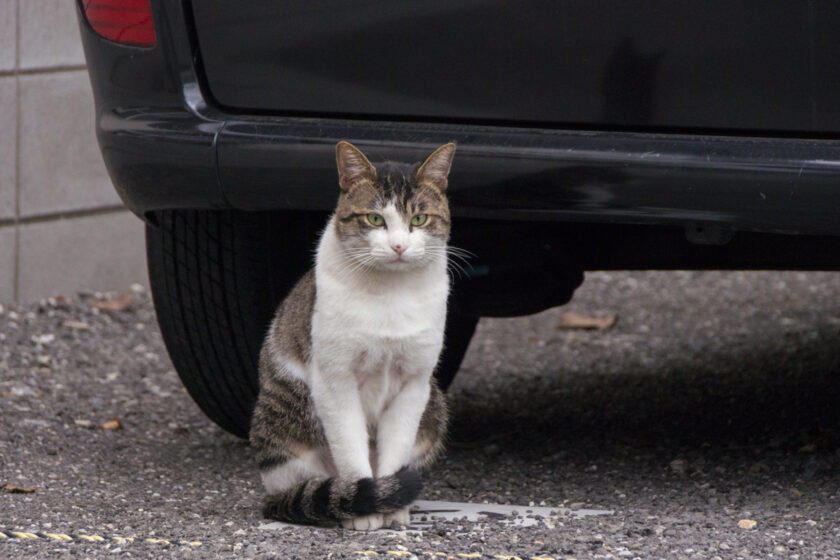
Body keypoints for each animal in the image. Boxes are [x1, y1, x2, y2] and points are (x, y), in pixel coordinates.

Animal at [249, 140, 456, 528]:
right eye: (375, 219)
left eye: (418, 219)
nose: (399, 246)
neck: (391, 294)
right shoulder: (336, 382)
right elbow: (350, 450)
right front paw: (363, 510)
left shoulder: (414, 383)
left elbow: (396, 450)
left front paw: (390, 507)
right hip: (284, 412)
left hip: (435, 405)